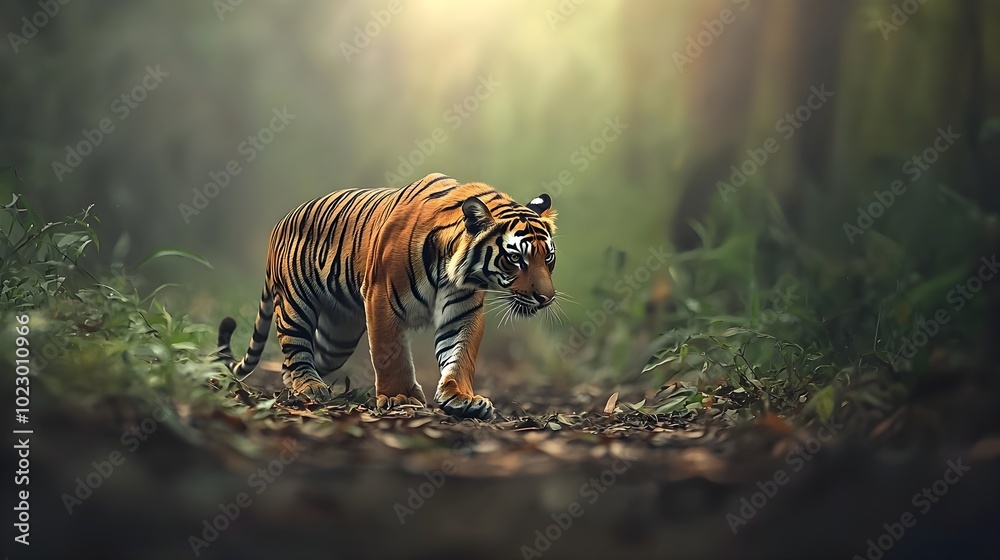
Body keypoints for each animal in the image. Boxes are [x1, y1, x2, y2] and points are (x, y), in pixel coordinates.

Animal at [217, 173, 558, 420]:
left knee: (295, 362)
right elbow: (391, 354)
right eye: (516, 259)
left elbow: (461, 356)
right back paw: (309, 387)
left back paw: (300, 388)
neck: (452, 267)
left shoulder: (462, 312)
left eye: (548, 258)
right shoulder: (381, 297)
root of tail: (280, 223)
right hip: (294, 305)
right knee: (295, 351)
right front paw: (400, 397)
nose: (546, 298)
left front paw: (463, 398)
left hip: (337, 338)